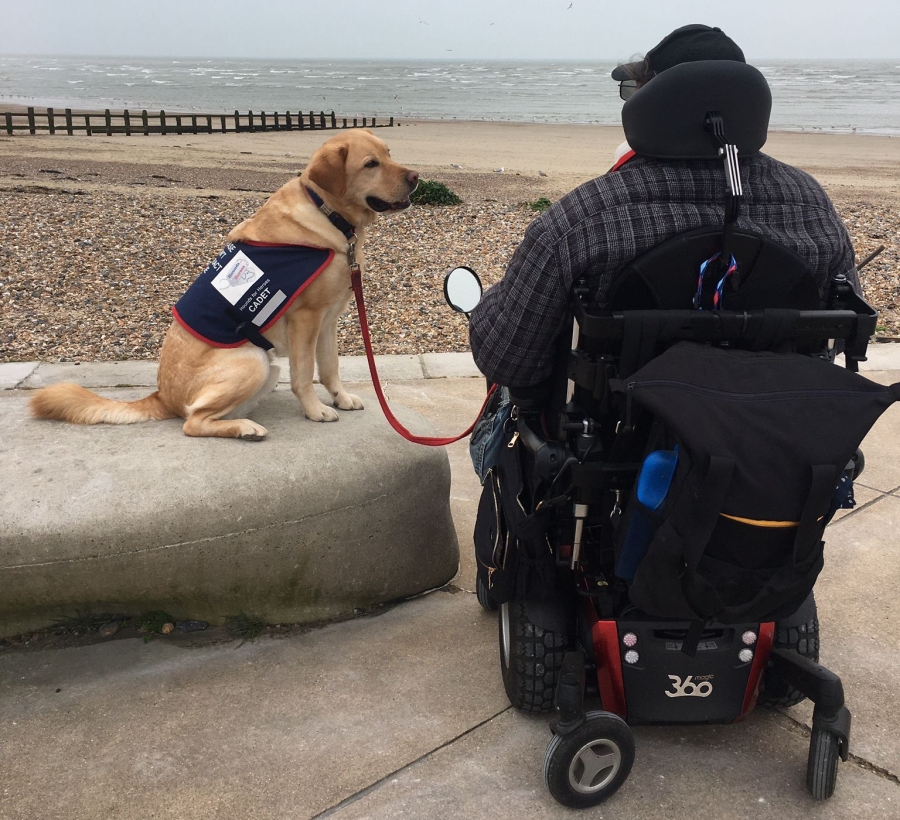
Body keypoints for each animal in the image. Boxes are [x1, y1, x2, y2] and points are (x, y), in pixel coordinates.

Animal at [30, 131, 418, 438]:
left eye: (388, 153)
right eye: (370, 164)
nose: (416, 176)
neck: (328, 213)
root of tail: (161, 396)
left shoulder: (329, 319)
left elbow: (330, 367)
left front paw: (340, 397)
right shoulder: (306, 319)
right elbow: (305, 373)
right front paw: (314, 410)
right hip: (254, 361)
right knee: (192, 422)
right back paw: (246, 428)